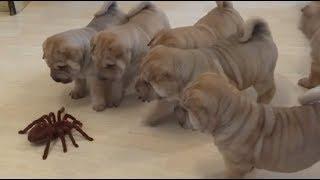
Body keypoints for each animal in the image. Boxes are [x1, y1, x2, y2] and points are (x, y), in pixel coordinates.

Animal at [139, 17, 278, 126]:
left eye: (147, 82)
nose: (137, 88)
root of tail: (263, 34)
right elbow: (161, 107)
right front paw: (150, 118)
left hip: (262, 78)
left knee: (268, 91)